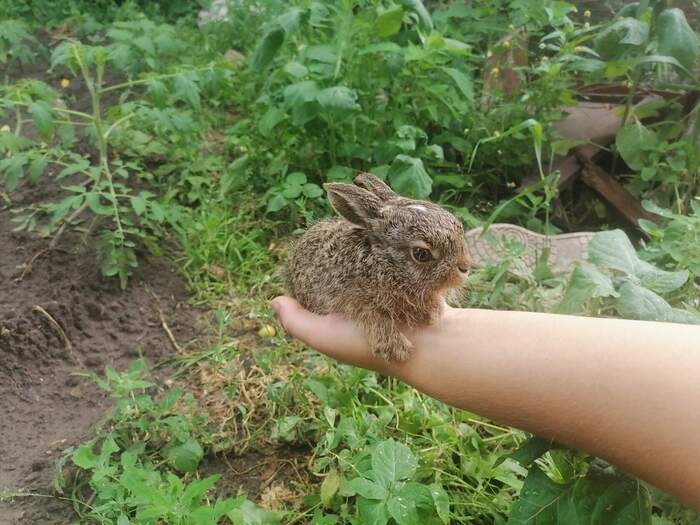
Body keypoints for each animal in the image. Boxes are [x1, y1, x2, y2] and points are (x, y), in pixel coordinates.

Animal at [284, 172, 470, 360]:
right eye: (421, 254)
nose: (465, 267)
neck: (384, 263)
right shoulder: (351, 298)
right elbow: (371, 316)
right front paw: (395, 349)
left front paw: (431, 314)